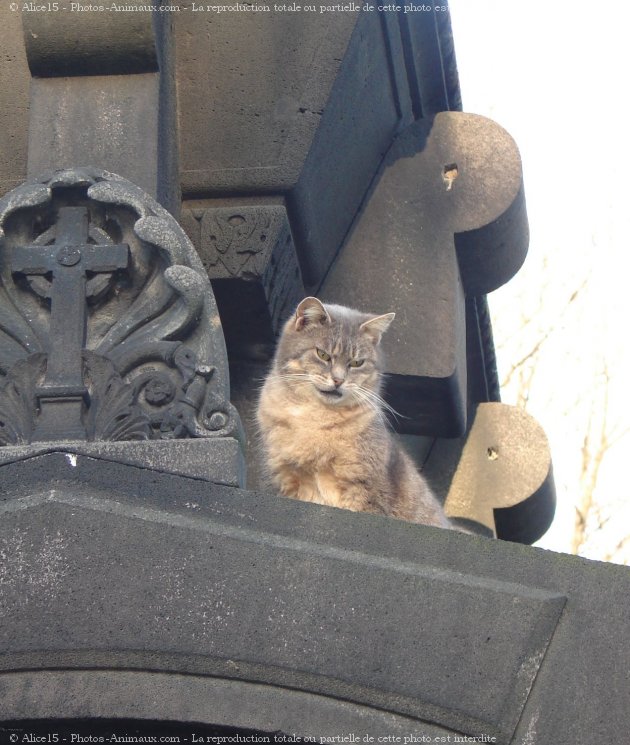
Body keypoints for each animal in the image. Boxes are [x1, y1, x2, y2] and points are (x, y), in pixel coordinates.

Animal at [256, 296, 454, 528]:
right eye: (323, 355)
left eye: (357, 362)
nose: (338, 380)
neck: (317, 418)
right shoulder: (285, 480)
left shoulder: (364, 490)